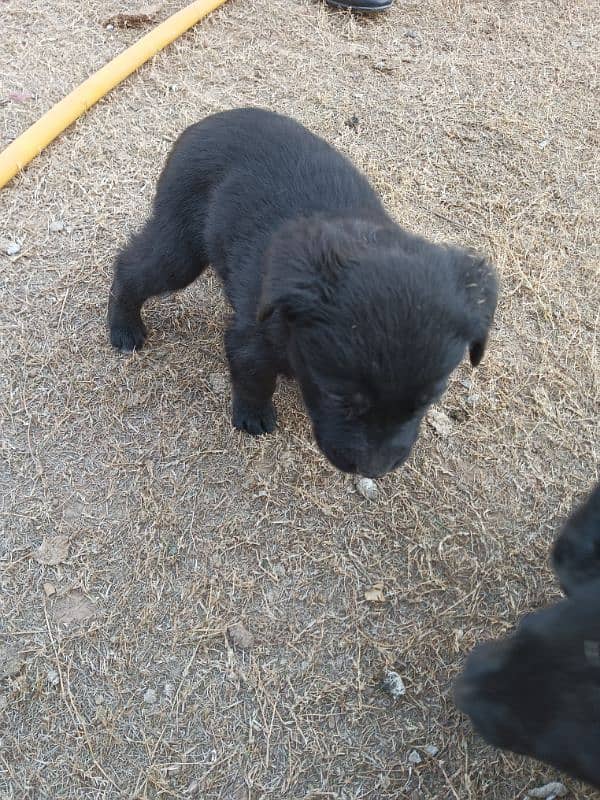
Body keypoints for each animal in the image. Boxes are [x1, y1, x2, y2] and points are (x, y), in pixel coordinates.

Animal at [108, 109, 496, 478]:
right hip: (181, 247)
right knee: (131, 267)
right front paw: (253, 415)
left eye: (426, 402)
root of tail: (205, 123)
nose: (375, 470)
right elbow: (254, 375)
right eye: (340, 397)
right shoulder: (252, 336)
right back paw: (123, 327)